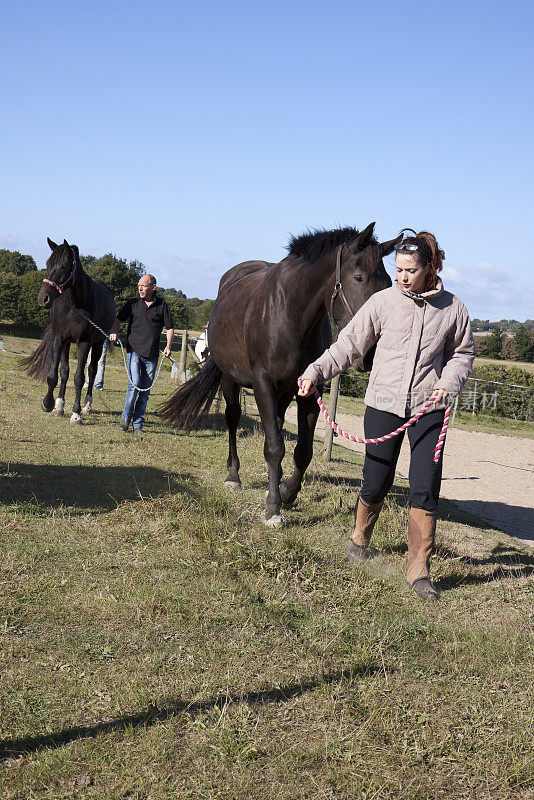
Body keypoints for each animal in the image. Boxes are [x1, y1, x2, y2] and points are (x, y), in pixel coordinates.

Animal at [22, 238, 116, 424]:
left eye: (64, 265)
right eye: (47, 263)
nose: (43, 299)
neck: (73, 305)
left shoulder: (84, 343)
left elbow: (79, 378)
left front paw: (76, 413)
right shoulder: (60, 339)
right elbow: (57, 374)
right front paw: (52, 404)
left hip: (98, 343)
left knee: (92, 371)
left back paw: (87, 406)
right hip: (67, 344)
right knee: (65, 372)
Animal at [161, 225, 400, 524]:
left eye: (388, 283)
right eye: (359, 278)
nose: (369, 354)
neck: (290, 314)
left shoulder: (309, 389)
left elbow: (302, 451)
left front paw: (285, 492)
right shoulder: (262, 383)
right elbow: (274, 447)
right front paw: (274, 507)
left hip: (284, 392)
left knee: (275, 422)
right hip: (231, 380)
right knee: (233, 418)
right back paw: (233, 475)